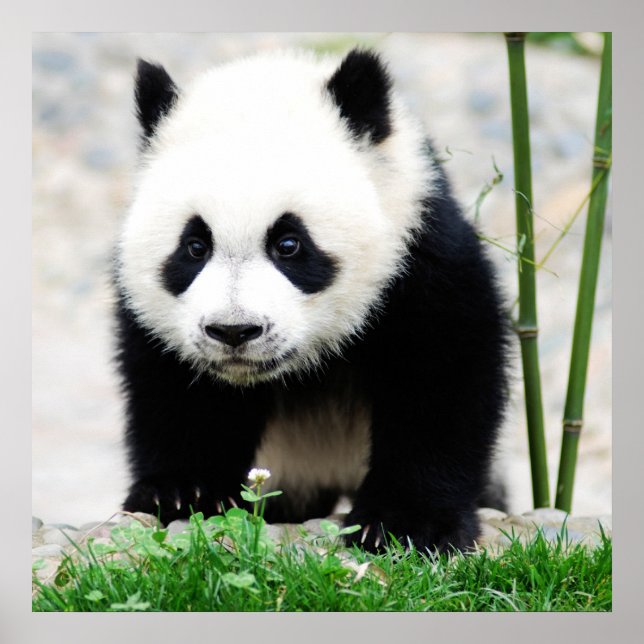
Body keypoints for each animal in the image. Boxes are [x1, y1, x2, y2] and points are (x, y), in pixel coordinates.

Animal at [115, 48, 509, 553]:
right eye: (195, 246)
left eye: (289, 244)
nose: (234, 331)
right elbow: (175, 389)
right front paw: (183, 492)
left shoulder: (419, 252)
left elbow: (441, 376)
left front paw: (405, 523)